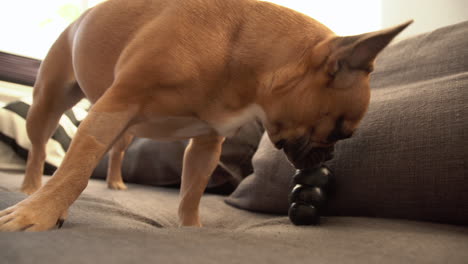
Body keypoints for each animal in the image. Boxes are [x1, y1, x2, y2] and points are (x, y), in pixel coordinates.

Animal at [0, 0, 410, 231]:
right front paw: (37, 214)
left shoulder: (207, 143)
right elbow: (74, 173)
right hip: (49, 103)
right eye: (340, 132)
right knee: (39, 149)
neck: (236, 51)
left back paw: (115, 182)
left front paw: (190, 228)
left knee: (116, 152)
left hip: (128, 130)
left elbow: (191, 192)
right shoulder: (111, 110)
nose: (330, 155)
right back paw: (31, 187)